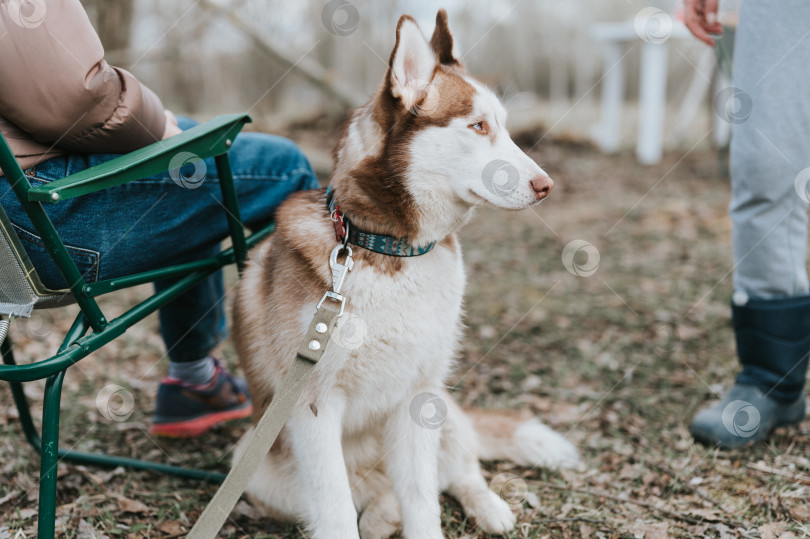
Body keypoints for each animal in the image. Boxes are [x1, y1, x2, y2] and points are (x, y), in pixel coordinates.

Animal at [230, 9, 576, 539]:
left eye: (503, 126)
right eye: (478, 126)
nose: (546, 185)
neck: (390, 250)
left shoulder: (419, 395)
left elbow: (422, 498)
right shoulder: (313, 407)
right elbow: (336, 510)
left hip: (441, 412)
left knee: (455, 472)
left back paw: (486, 507)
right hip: (253, 464)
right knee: (369, 498)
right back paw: (379, 514)